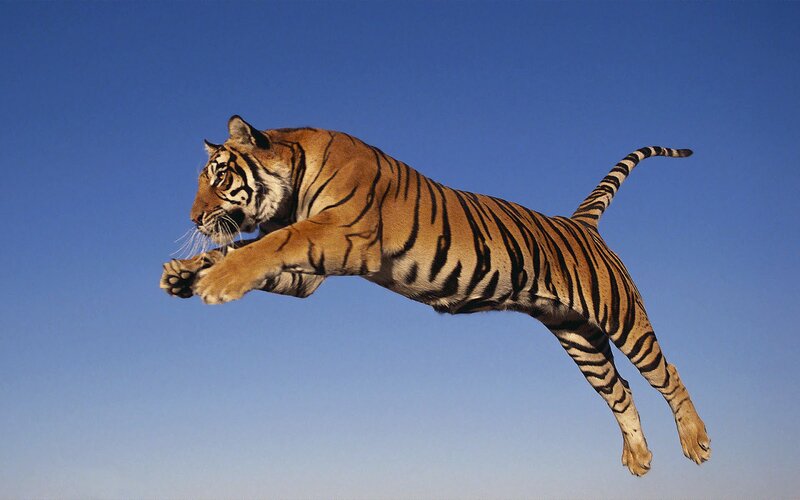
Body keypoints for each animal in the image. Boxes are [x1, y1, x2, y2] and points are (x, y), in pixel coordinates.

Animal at [160, 115, 711, 475]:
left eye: (221, 177)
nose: (193, 218)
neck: (293, 184)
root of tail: (581, 223)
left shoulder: (340, 235)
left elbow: (265, 245)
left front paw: (216, 282)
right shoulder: (309, 274)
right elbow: (242, 248)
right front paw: (183, 273)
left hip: (622, 316)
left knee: (667, 372)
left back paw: (697, 441)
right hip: (578, 336)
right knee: (620, 390)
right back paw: (639, 458)